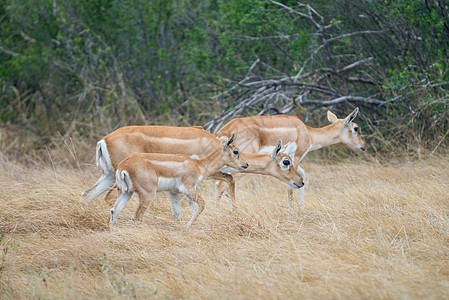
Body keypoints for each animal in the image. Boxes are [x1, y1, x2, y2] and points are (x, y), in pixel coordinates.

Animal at [110, 135, 247, 226]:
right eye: (236, 151)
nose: (246, 164)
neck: (198, 165)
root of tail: (124, 166)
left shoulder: (173, 192)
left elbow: (177, 213)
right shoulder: (188, 189)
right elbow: (202, 204)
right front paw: (188, 226)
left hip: (126, 192)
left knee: (114, 211)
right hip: (147, 195)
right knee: (137, 217)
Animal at [215, 108, 366, 209]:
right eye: (356, 128)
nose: (363, 146)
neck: (308, 133)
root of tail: (224, 131)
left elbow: (303, 175)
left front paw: (300, 205)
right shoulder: (296, 156)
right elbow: (292, 185)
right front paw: (292, 208)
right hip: (239, 166)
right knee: (222, 184)